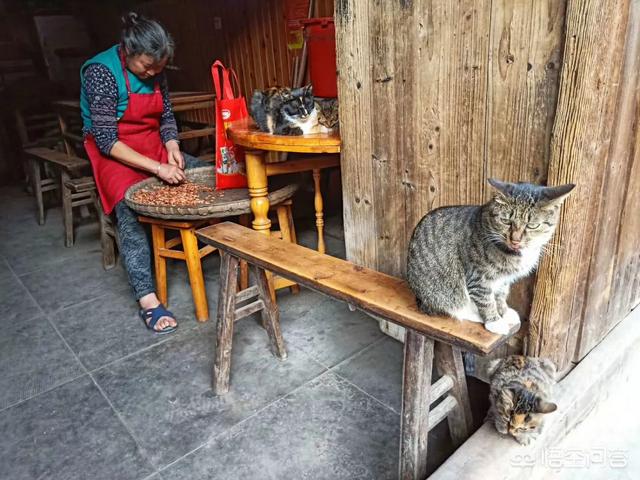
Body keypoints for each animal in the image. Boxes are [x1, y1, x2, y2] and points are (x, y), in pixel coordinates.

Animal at [406, 178, 575, 335]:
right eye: (506, 221)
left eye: (532, 225)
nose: (515, 240)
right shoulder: (478, 277)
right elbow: (486, 300)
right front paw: (495, 321)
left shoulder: (503, 280)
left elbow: (500, 295)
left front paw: (504, 312)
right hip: (443, 290)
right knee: (454, 306)